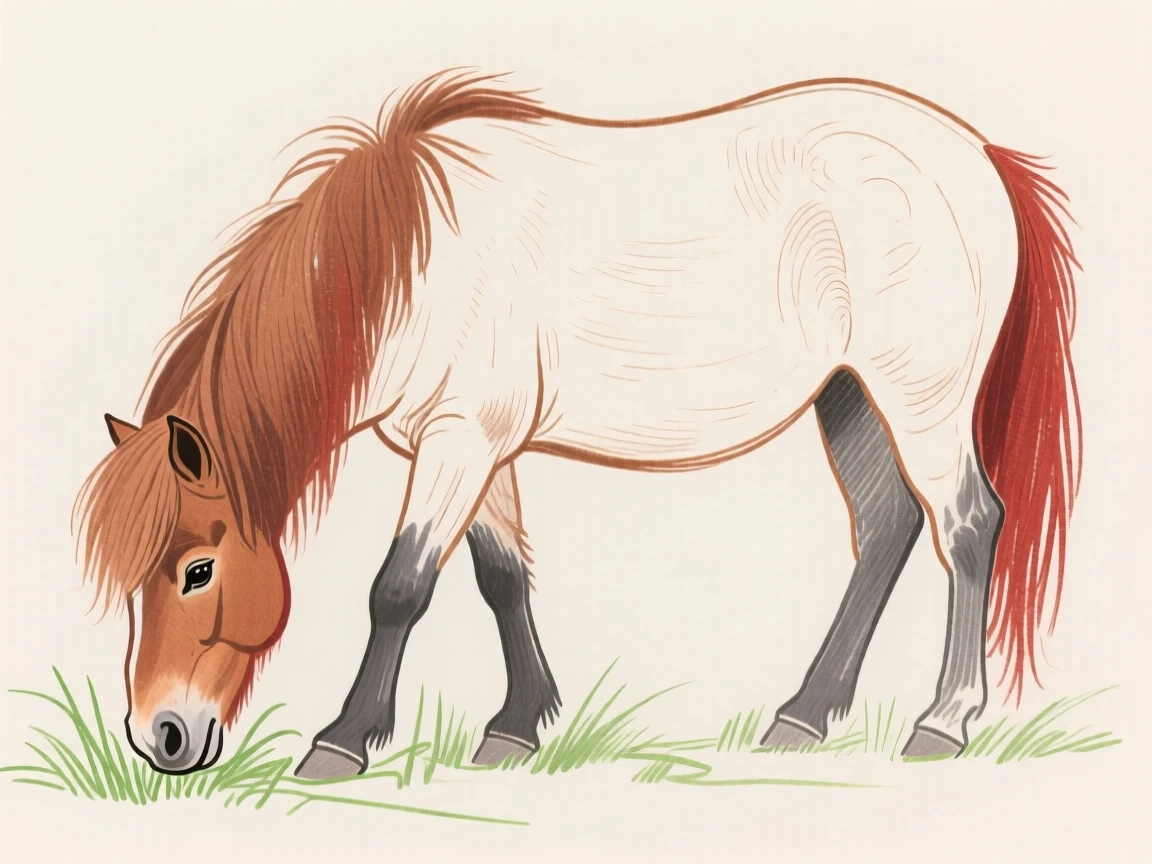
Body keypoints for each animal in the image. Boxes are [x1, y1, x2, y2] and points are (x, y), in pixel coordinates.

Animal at [73, 69, 1081, 779]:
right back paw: (802, 715)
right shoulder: (481, 447)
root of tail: (973, 151)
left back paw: (942, 722)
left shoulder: (460, 442)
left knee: (967, 526)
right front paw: (516, 727)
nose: (160, 738)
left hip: (922, 398)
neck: (414, 262)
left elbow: (399, 587)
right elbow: (500, 577)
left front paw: (343, 740)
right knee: (886, 527)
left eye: (198, 570)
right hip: (849, 394)